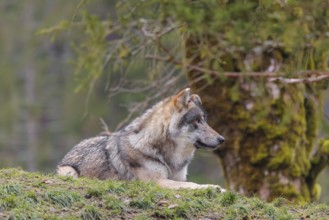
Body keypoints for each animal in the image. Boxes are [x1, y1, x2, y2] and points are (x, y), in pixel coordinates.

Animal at [57, 88, 224, 190]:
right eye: (197, 121)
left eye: (204, 120)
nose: (222, 139)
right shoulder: (157, 182)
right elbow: (192, 185)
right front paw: (214, 188)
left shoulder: (179, 178)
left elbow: (188, 183)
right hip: (69, 172)